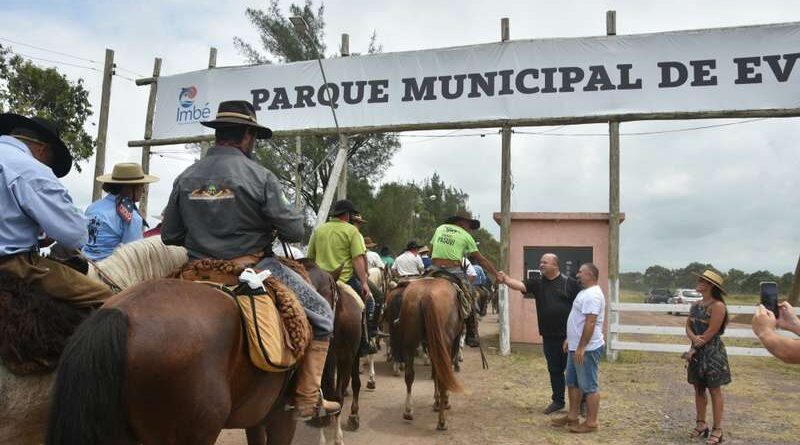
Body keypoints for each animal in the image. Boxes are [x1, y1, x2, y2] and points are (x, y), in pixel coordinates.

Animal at [394, 278, 462, 430]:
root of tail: (426, 295)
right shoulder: (451, 344)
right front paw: (444, 401)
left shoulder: (431, 345)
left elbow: (435, 371)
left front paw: (437, 402)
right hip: (444, 343)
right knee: (443, 377)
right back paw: (442, 421)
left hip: (410, 342)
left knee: (409, 375)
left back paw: (408, 411)